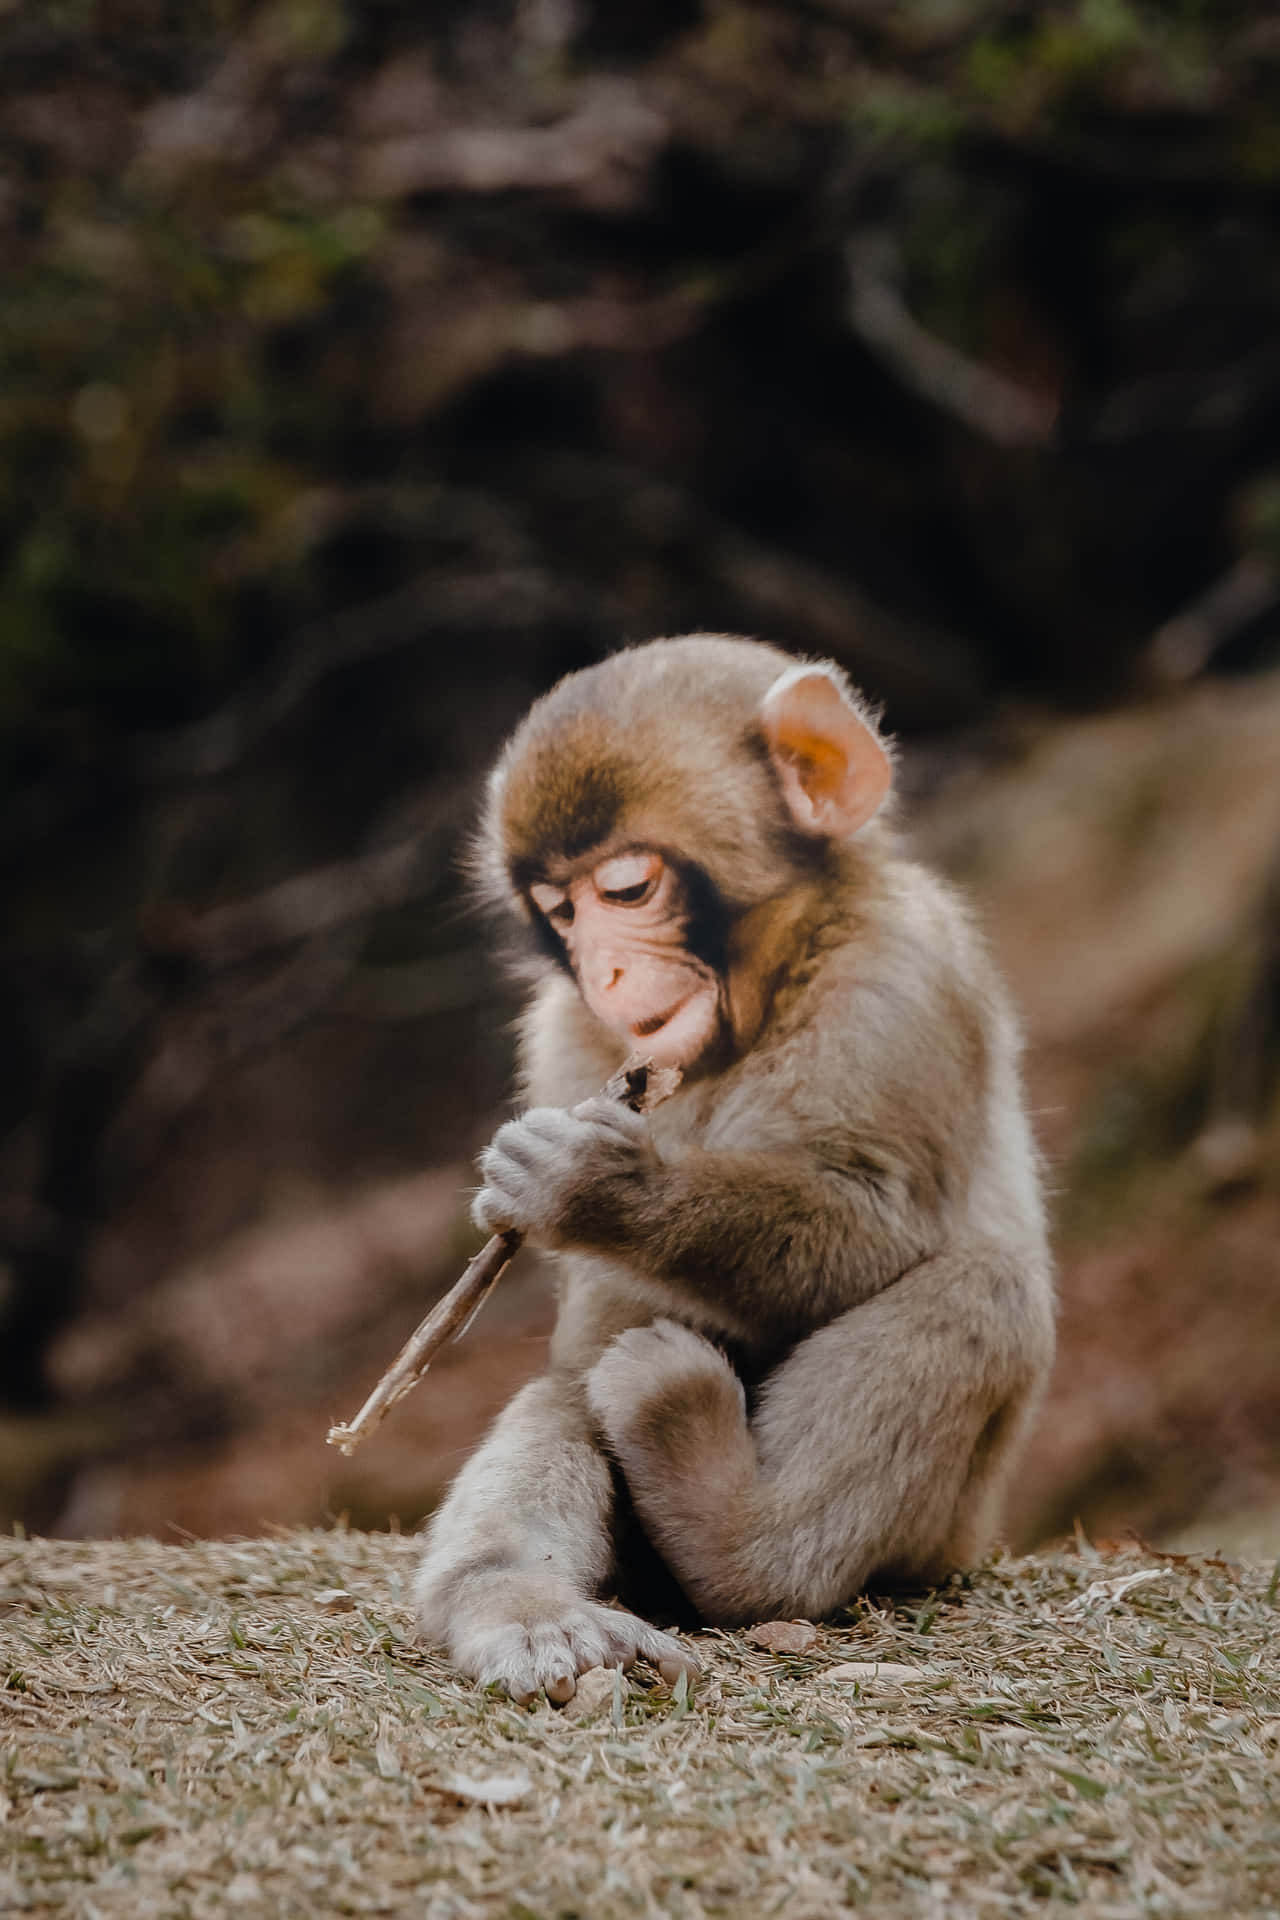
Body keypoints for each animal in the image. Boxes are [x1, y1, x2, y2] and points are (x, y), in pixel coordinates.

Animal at [416, 637, 1059, 1704]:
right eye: (560, 911)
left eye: (625, 890)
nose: (606, 973)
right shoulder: (563, 1037)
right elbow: (596, 1321)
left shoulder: (901, 981)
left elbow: (880, 1226)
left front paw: (603, 1191)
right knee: (573, 1384)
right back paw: (524, 1608)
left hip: (945, 1529)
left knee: (986, 1288)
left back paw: (738, 1542)